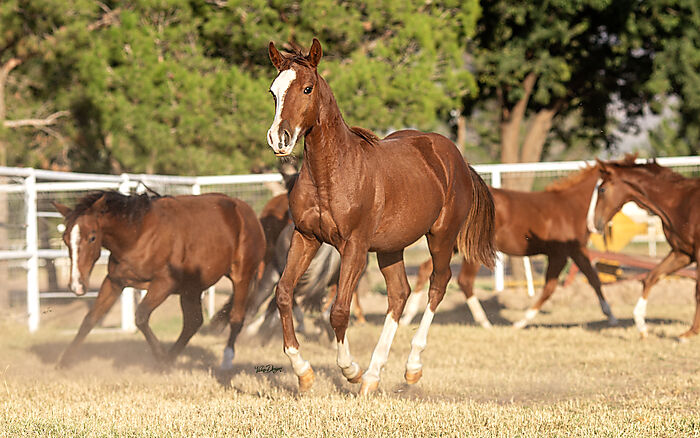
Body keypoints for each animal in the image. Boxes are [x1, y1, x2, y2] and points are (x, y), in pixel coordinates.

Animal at [52, 191, 265, 369]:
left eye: (92, 237)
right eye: (65, 239)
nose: (77, 285)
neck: (138, 236)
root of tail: (244, 210)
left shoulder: (164, 284)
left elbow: (141, 317)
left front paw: (160, 357)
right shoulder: (114, 282)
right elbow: (90, 319)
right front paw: (64, 362)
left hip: (242, 275)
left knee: (236, 318)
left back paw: (225, 360)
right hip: (192, 288)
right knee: (193, 322)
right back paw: (171, 359)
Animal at [266, 38, 496, 394]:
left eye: (307, 88)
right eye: (273, 92)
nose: (280, 139)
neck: (331, 173)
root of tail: (454, 156)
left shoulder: (354, 247)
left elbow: (339, 310)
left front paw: (349, 370)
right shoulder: (305, 238)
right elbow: (284, 294)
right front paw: (303, 372)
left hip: (441, 237)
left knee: (437, 285)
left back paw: (410, 367)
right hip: (391, 248)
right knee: (399, 294)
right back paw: (373, 376)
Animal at [401, 163, 619, 329]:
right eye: (603, 189)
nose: (601, 225)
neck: (571, 206)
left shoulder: (575, 251)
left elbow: (593, 278)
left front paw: (611, 315)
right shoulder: (561, 254)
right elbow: (550, 288)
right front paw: (522, 322)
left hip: (451, 246)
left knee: (426, 269)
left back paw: (407, 317)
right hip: (470, 250)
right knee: (464, 280)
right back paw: (484, 322)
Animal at [592, 155, 700, 340]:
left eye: (602, 189)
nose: (596, 223)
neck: (680, 202)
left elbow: (698, 291)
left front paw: (690, 333)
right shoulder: (683, 253)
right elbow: (651, 277)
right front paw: (642, 327)